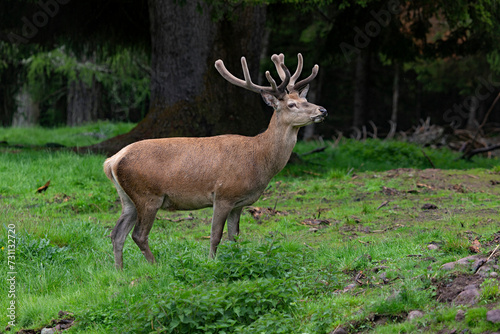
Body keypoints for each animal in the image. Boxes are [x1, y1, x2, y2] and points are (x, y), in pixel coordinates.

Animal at [103, 53, 326, 270]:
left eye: (304, 98)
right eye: (291, 104)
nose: (322, 110)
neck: (259, 159)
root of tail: (112, 161)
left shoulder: (239, 202)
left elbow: (234, 237)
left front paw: (236, 260)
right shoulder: (223, 194)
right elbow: (215, 236)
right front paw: (212, 263)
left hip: (128, 198)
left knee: (117, 233)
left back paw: (119, 271)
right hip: (148, 195)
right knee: (138, 235)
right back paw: (155, 266)